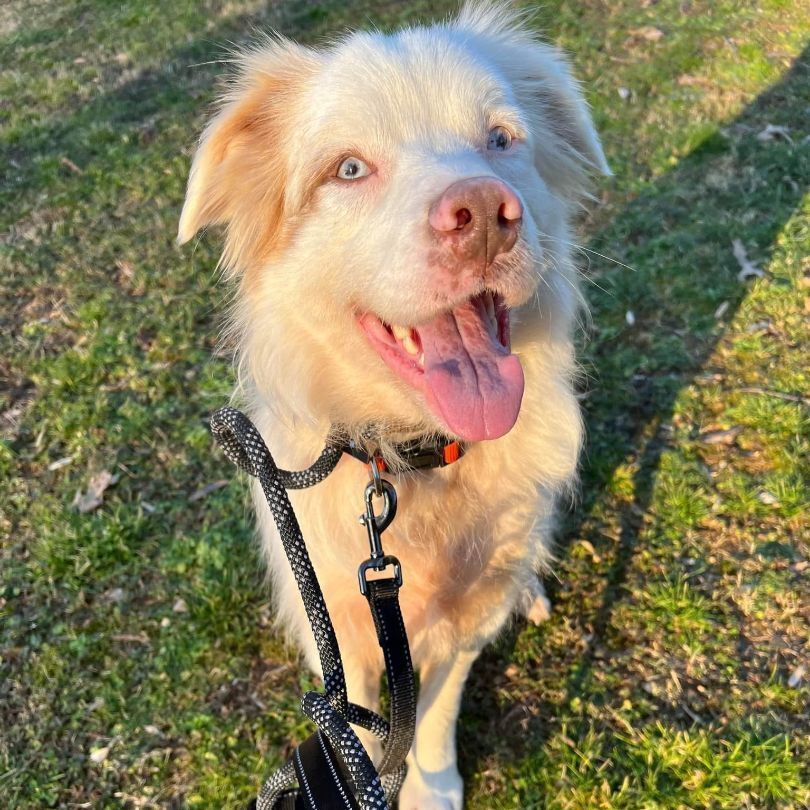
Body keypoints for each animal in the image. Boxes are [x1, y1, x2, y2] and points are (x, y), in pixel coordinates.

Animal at [178, 3, 608, 804]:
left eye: (501, 139)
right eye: (348, 169)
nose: (483, 212)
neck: (410, 458)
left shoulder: (466, 617)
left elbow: (435, 705)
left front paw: (428, 785)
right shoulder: (336, 622)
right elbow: (364, 719)